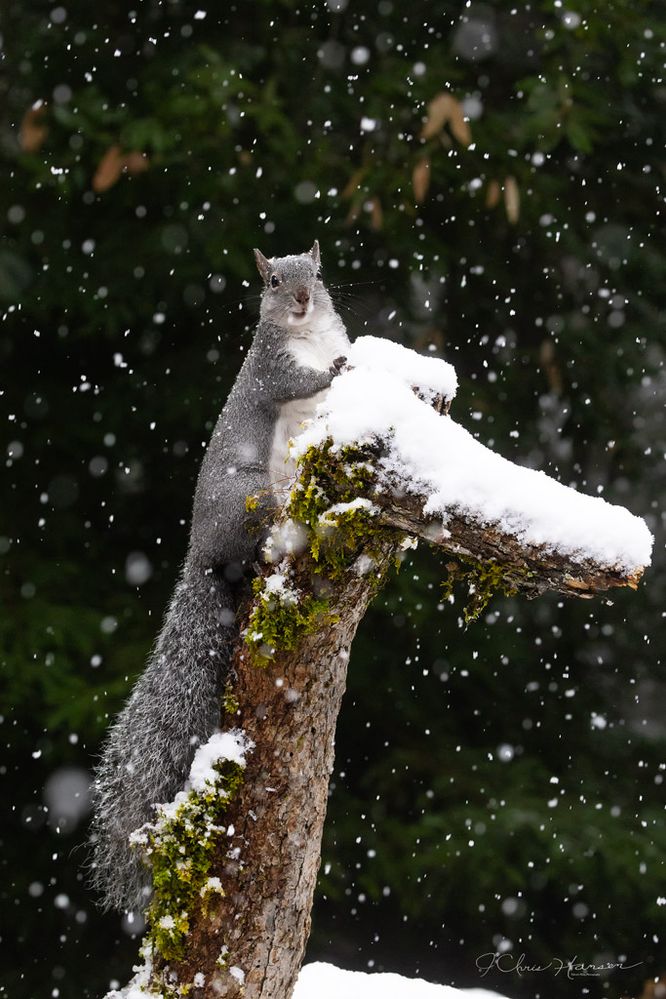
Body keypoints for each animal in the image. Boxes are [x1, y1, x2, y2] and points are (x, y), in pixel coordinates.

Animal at [91, 242, 350, 916]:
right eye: (273, 280)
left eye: (317, 274)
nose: (301, 298)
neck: (308, 334)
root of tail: (202, 553)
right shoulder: (272, 372)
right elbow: (304, 383)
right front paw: (338, 369)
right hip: (251, 498)